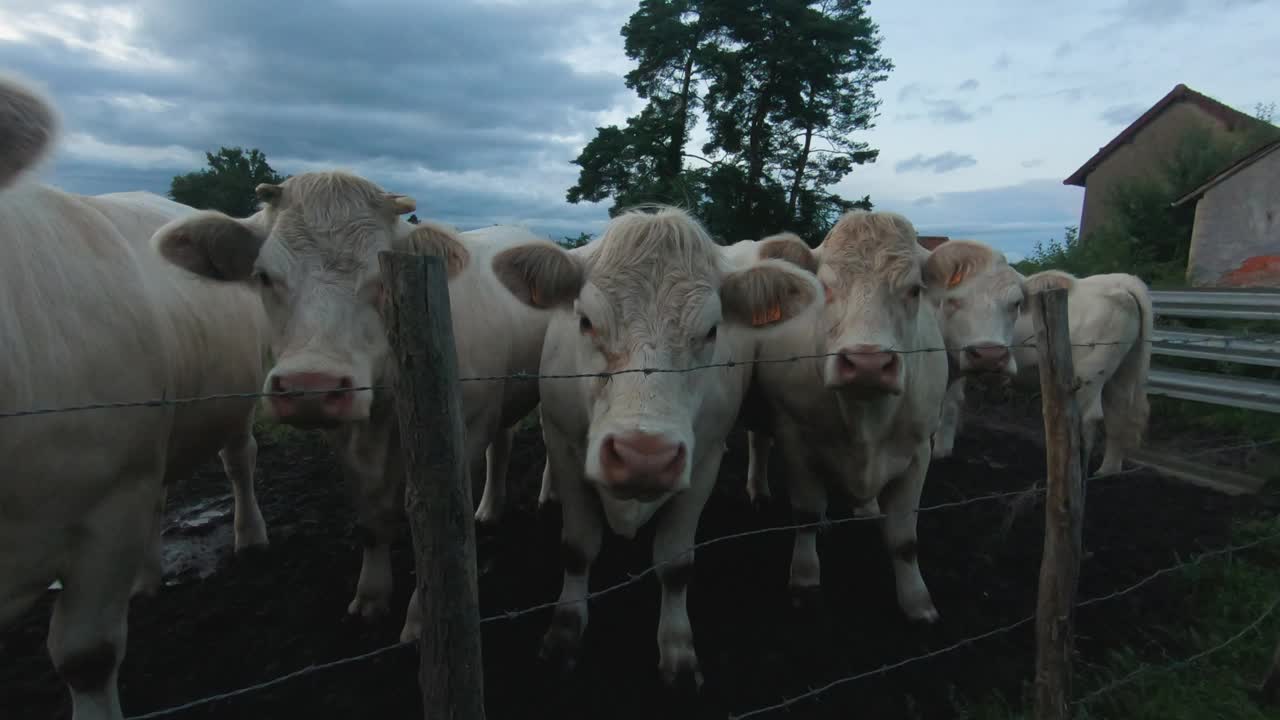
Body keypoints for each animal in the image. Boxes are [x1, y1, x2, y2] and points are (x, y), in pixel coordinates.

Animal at [152, 172, 563, 638]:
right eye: (263, 276)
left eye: (381, 277)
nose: (310, 386)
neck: (387, 400)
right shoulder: (346, 436)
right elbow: (372, 514)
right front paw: (371, 595)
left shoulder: (469, 427)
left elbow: (438, 523)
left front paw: (420, 618)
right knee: (504, 444)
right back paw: (490, 509)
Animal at [488, 206, 819, 681]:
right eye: (585, 321)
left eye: (712, 331)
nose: (643, 457)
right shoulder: (566, 446)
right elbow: (577, 548)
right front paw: (564, 631)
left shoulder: (704, 461)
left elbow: (676, 564)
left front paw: (677, 646)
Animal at [747, 208, 947, 622]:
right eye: (824, 287)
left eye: (915, 290)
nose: (867, 363)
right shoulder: (795, 438)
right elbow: (806, 512)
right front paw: (805, 579)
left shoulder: (919, 449)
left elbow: (904, 538)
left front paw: (917, 600)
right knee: (757, 439)